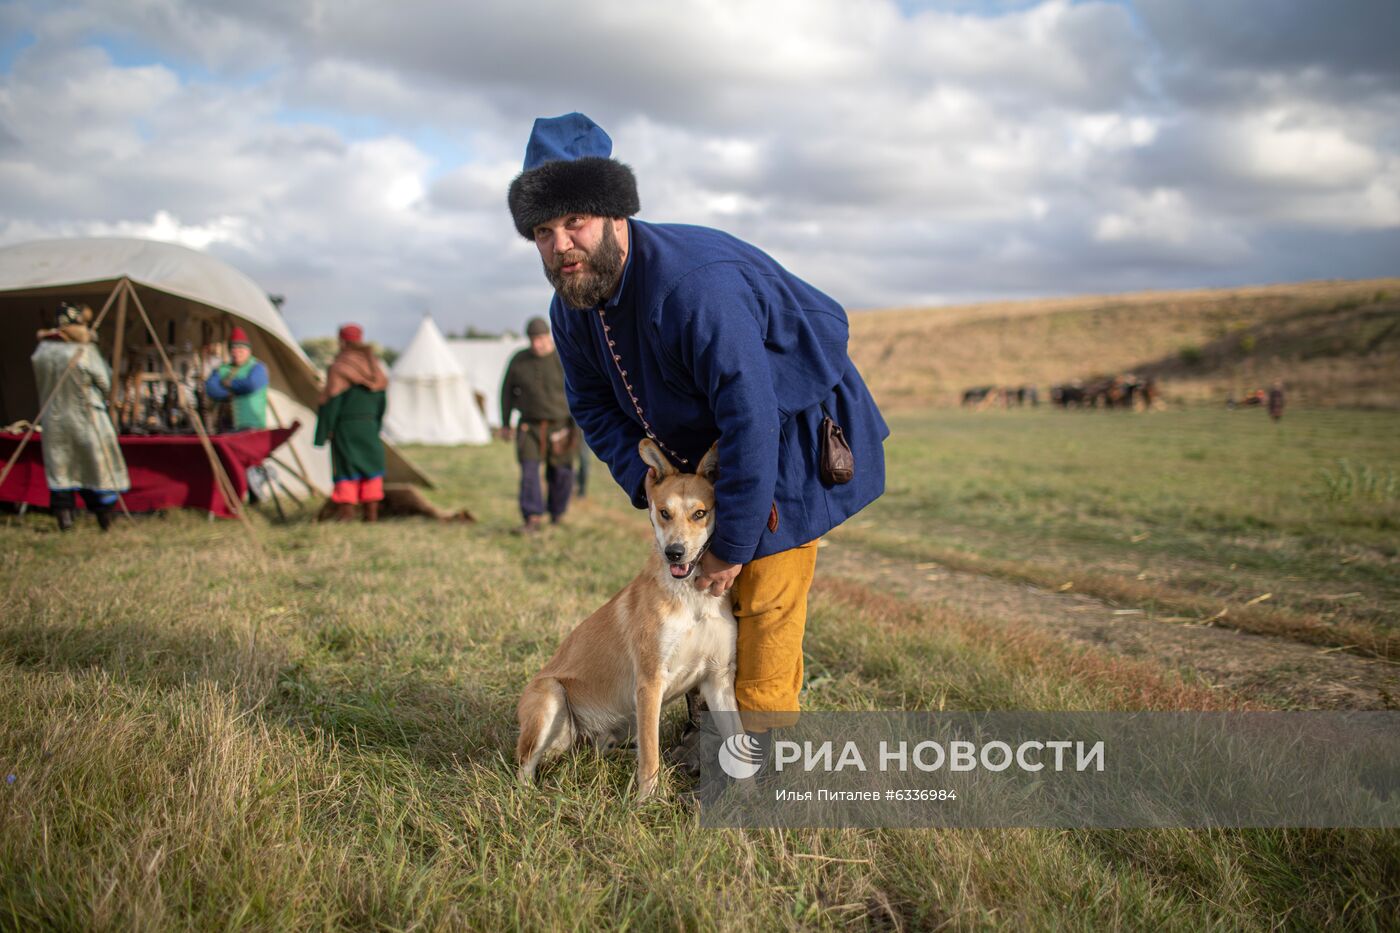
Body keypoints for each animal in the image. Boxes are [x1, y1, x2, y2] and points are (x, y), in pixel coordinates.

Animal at [518, 439, 744, 795]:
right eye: (664, 512)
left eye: (700, 513)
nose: (674, 553)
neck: (692, 599)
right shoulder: (650, 682)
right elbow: (650, 756)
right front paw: (646, 801)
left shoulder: (718, 679)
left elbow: (740, 749)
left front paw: (751, 796)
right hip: (550, 696)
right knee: (523, 766)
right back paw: (528, 795)